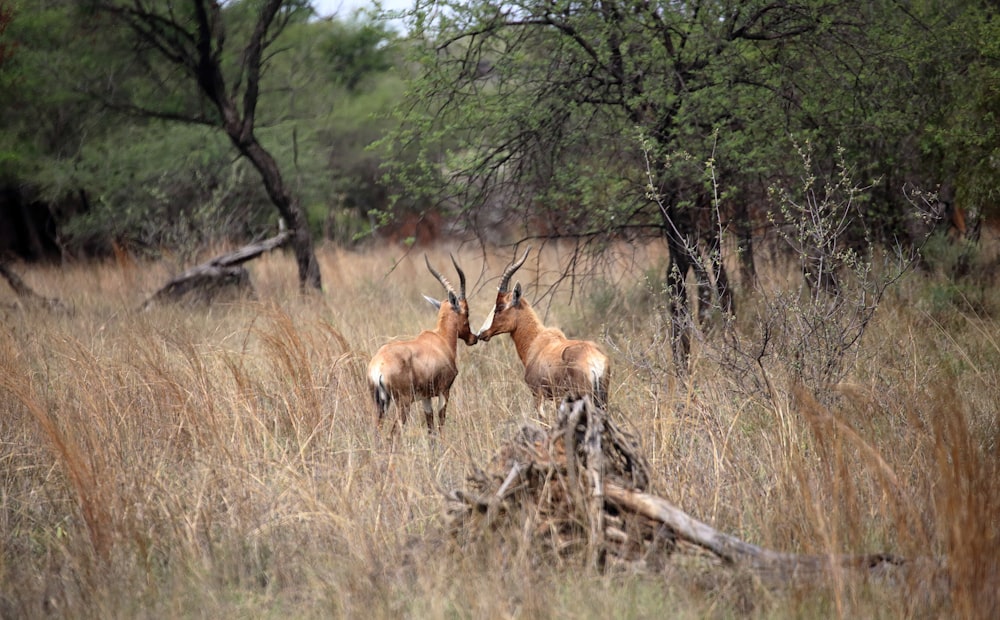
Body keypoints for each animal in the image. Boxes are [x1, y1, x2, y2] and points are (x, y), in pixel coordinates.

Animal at [368, 254, 476, 434]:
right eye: (467, 312)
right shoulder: (444, 392)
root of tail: (378, 366)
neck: (440, 339)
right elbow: (440, 424)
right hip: (403, 404)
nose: (473, 338)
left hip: (380, 405)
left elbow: (430, 427)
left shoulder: (426, 397)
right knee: (393, 434)